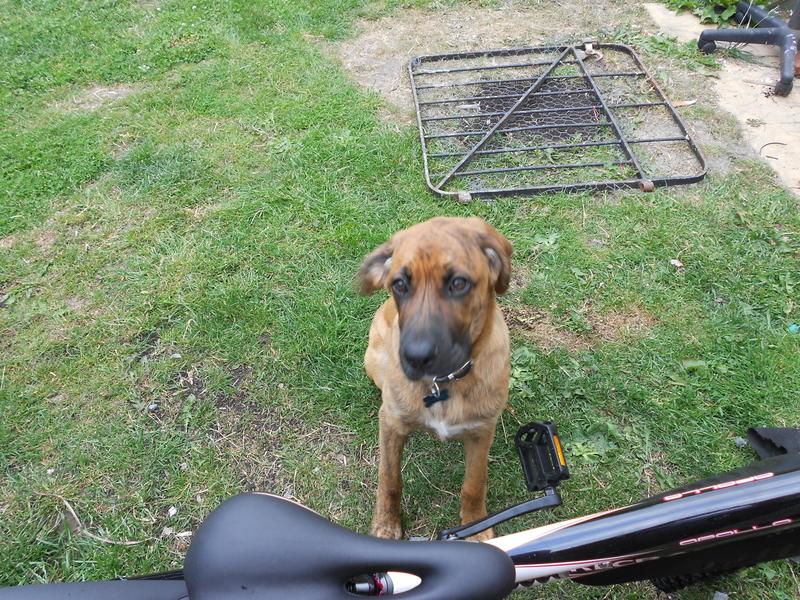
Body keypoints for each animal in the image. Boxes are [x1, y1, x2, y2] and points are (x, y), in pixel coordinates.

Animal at [357, 216, 512, 541]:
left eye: (458, 283)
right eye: (399, 284)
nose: (416, 357)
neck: (444, 382)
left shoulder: (482, 431)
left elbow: (474, 484)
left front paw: (475, 527)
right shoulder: (391, 423)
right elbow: (389, 479)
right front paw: (386, 524)